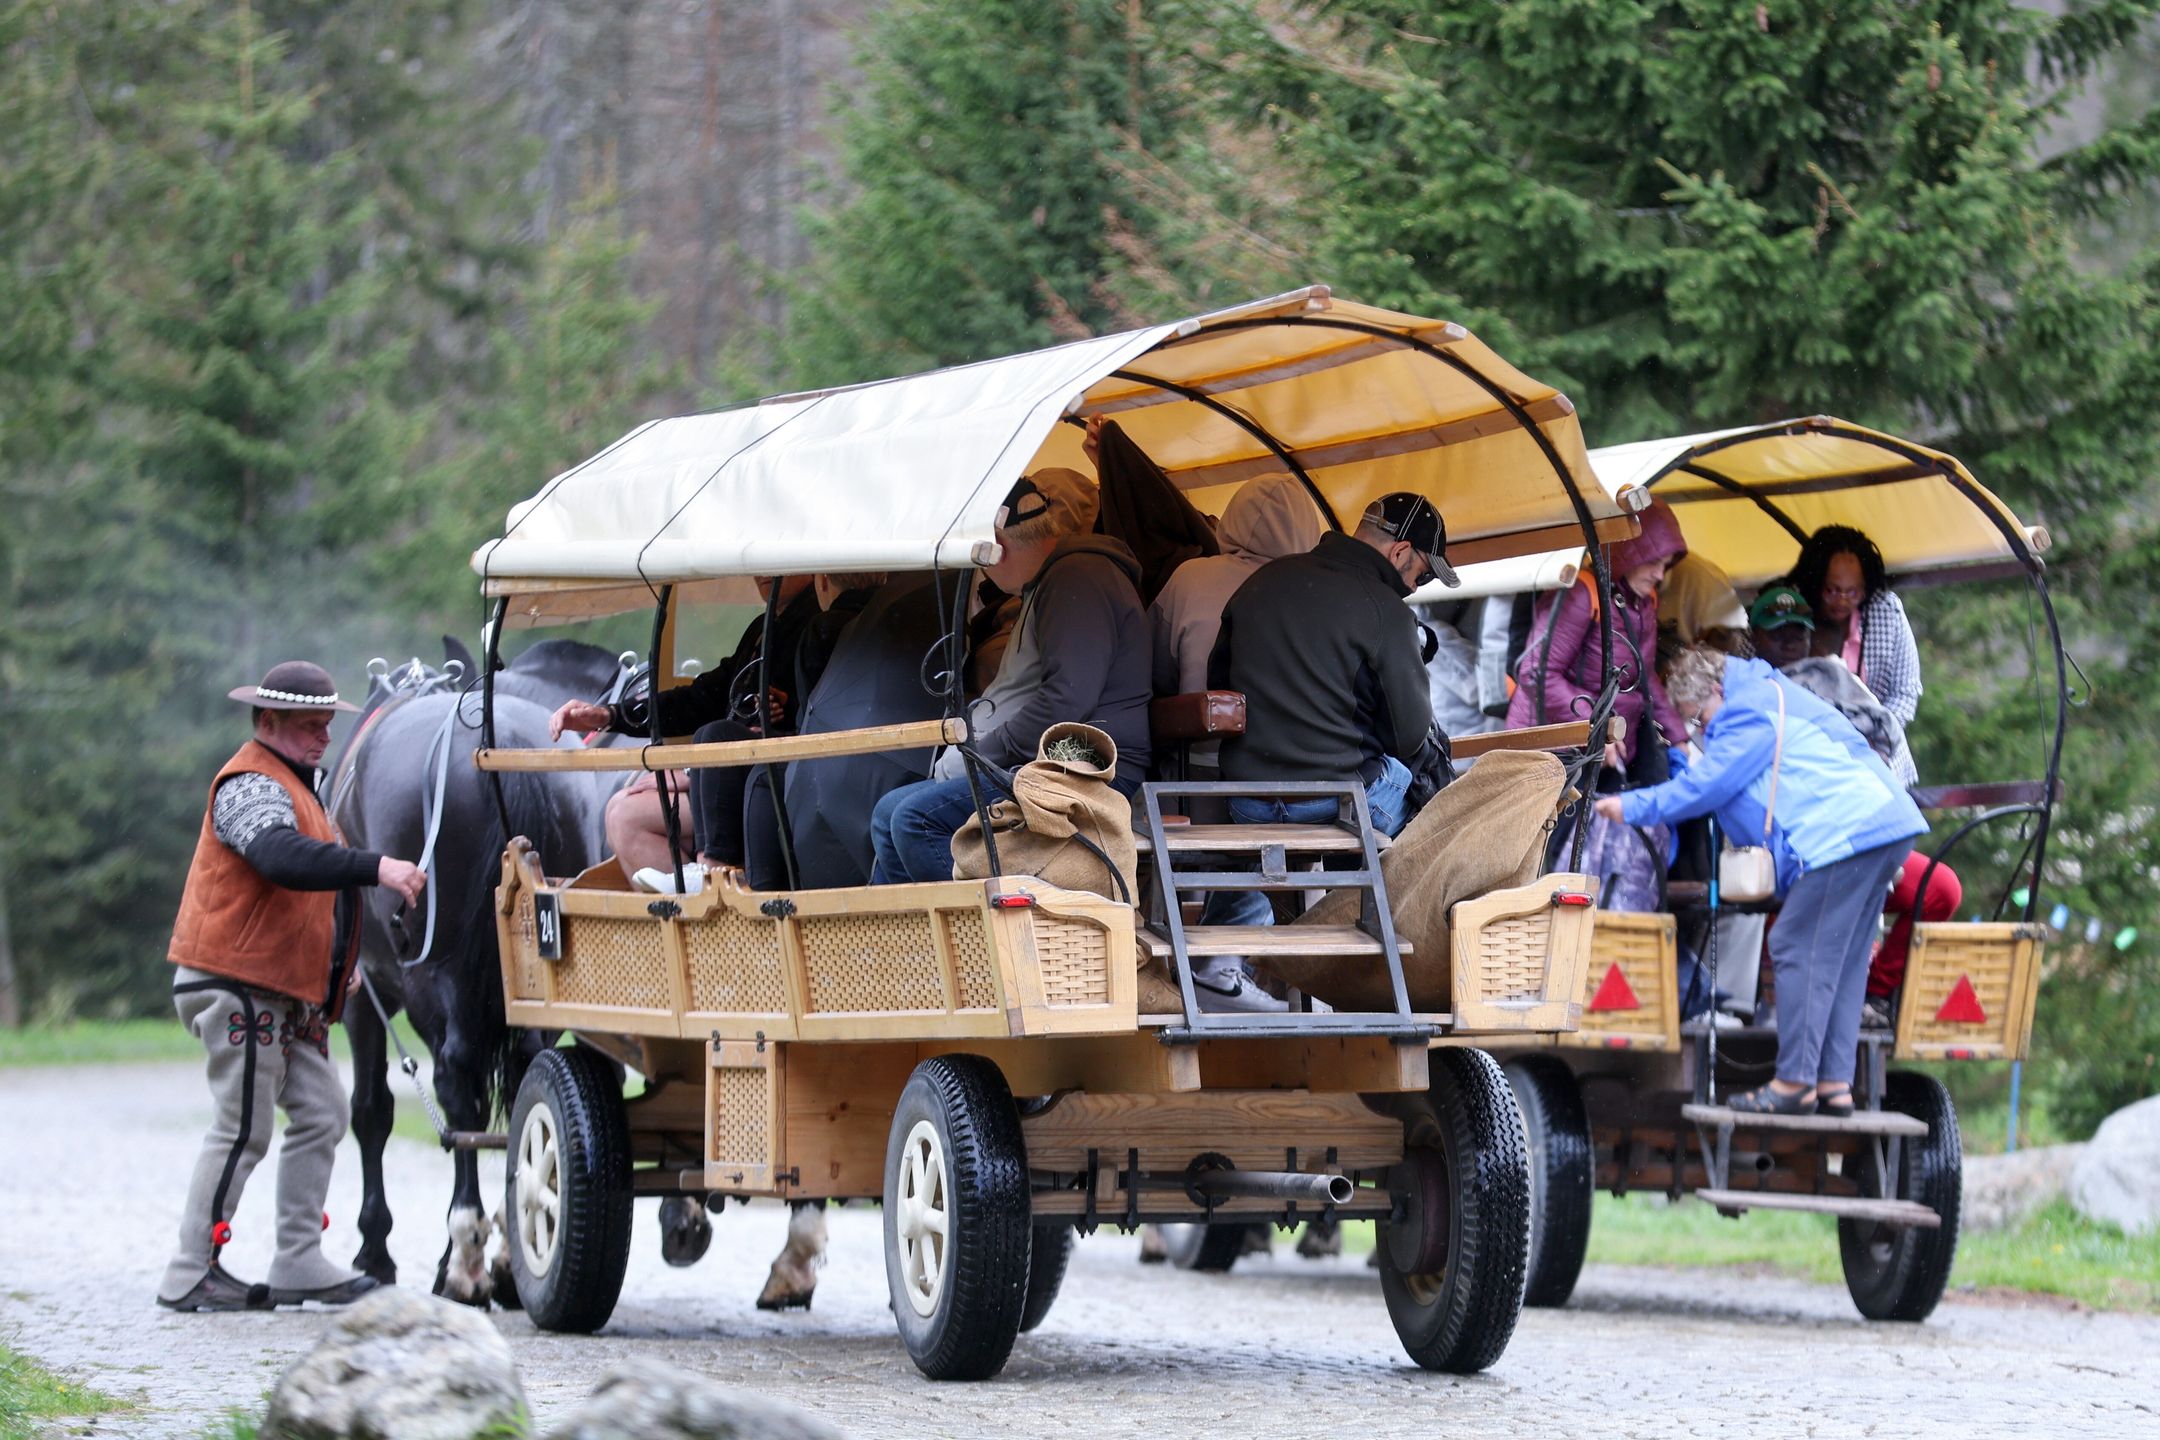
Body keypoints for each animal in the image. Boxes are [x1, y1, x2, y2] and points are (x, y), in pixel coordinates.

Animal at [332, 643, 626, 1303]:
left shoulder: (369, 990)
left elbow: (372, 1110)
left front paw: (376, 1247)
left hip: (436, 978)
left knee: (457, 1084)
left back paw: (465, 1254)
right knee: (525, 1073)